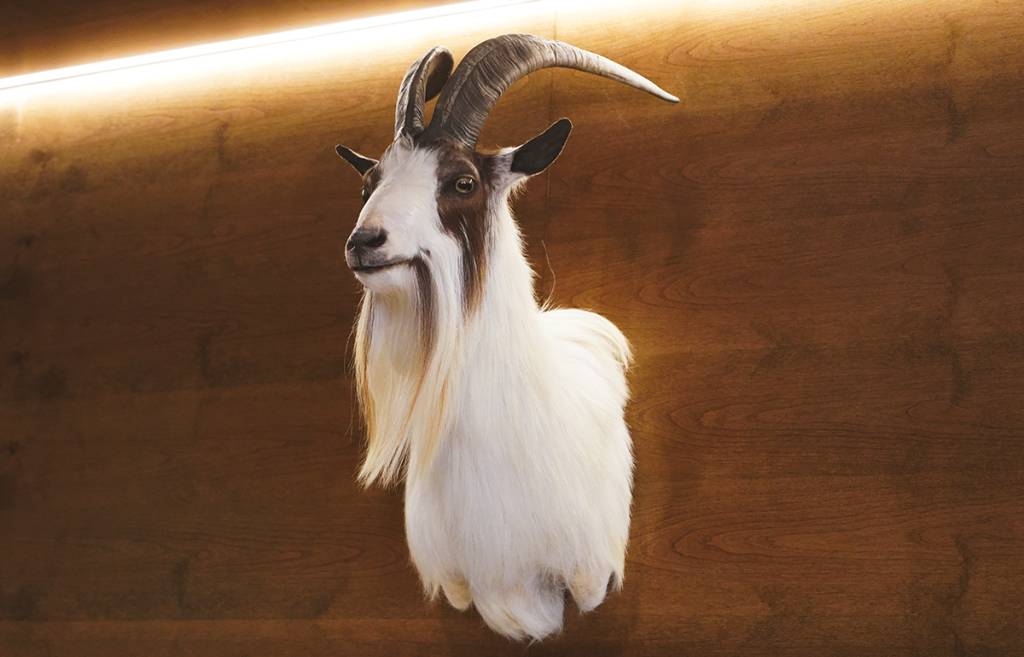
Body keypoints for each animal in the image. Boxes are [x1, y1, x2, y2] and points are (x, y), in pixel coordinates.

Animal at [334, 34, 677, 641]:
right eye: (369, 182)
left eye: (462, 181)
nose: (365, 241)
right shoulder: (458, 579)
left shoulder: (590, 568)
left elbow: (589, 594)